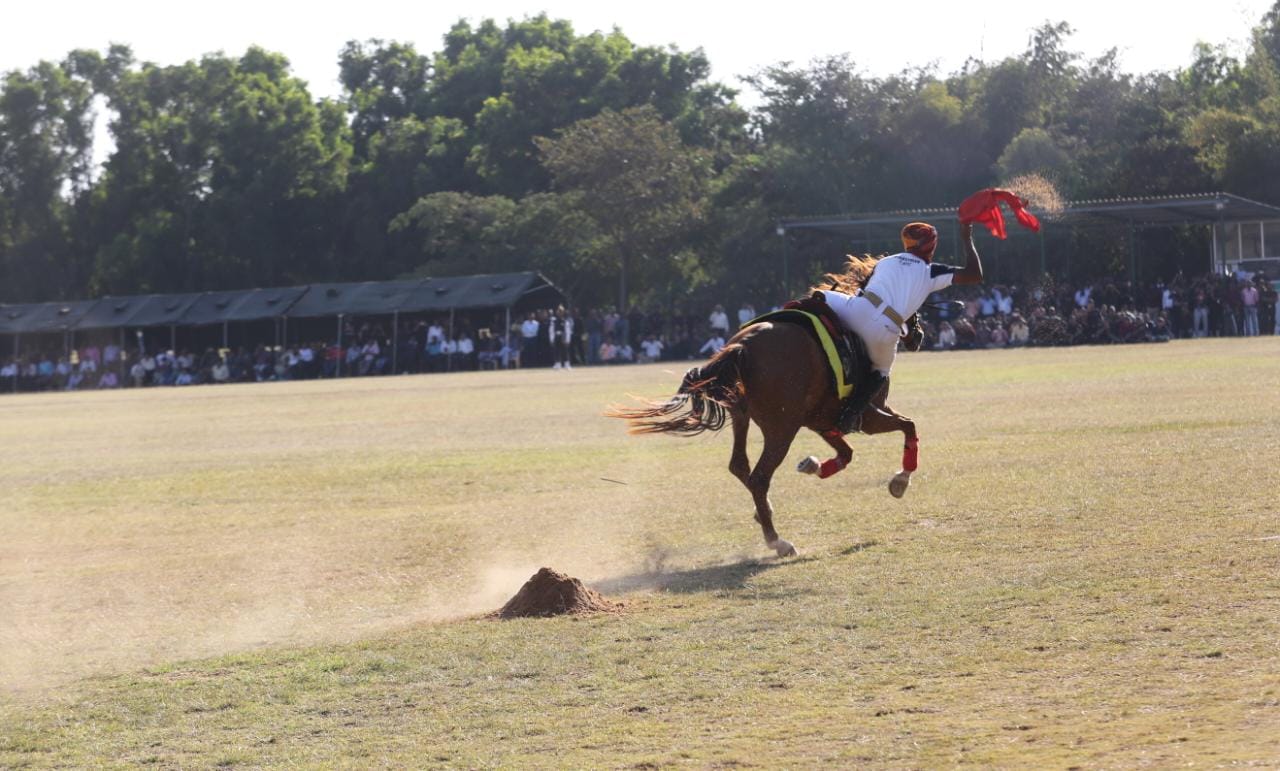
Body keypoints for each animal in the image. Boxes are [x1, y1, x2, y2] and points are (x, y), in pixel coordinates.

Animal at [609, 256, 921, 553]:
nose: (918, 335)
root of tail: (743, 346)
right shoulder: (865, 415)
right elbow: (908, 426)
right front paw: (900, 481)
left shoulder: (821, 420)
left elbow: (848, 452)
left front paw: (812, 465)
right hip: (781, 429)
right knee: (759, 476)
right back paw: (777, 541)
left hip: (742, 415)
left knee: (739, 465)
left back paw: (764, 512)